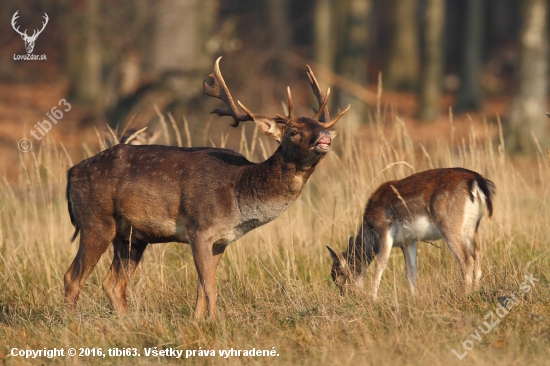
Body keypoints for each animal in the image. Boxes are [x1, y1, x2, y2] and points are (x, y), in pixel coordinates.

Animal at [64, 56, 350, 318]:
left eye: (320, 125)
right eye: (293, 131)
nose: (325, 137)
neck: (238, 194)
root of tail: (70, 173)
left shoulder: (222, 241)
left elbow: (202, 287)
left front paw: (199, 322)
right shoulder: (199, 229)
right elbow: (210, 286)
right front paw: (217, 323)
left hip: (131, 237)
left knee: (112, 284)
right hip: (96, 221)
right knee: (72, 277)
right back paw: (70, 323)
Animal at [328, 169, 496, 300]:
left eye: (339, 274)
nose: (348, 295)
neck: (370, 231)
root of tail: (476, 181)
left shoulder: (384, 230)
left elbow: (380, 266)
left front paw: (373, 299)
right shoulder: (408, 241)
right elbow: (411, 271)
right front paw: (414, 297)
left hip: (449, 226)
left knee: (466, 259)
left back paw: (464, 294)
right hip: (471, 228)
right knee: (477, 253)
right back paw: (475, 290)